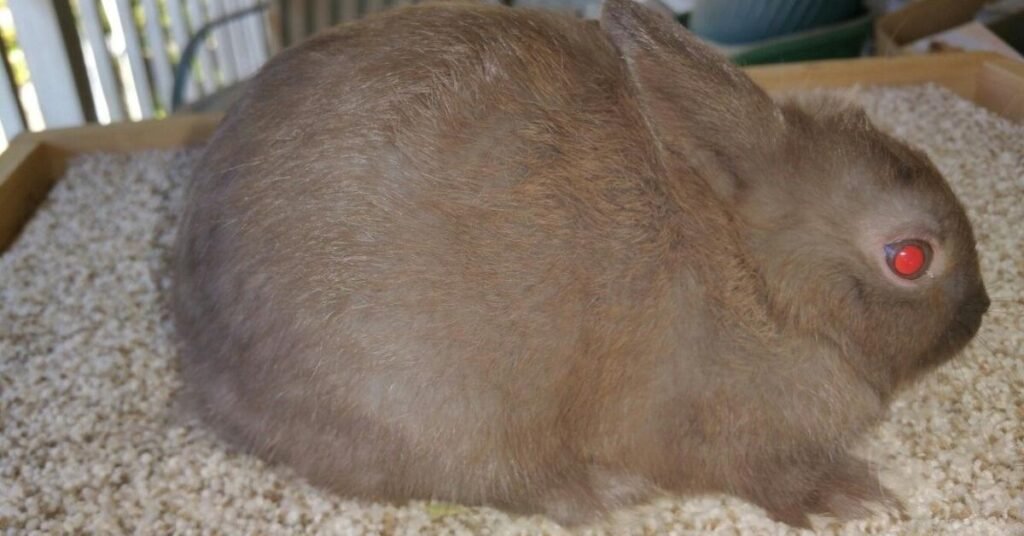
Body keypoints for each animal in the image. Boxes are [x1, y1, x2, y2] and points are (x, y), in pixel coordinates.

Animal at [171, 0, 990, 528]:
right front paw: (854, 497)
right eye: (910, 257)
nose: (979, 314)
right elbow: (764, 474)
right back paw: (612, 493)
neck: (761, 282)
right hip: (444, 407)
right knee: (516, 484)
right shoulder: (720, 432)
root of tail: (205, 366)